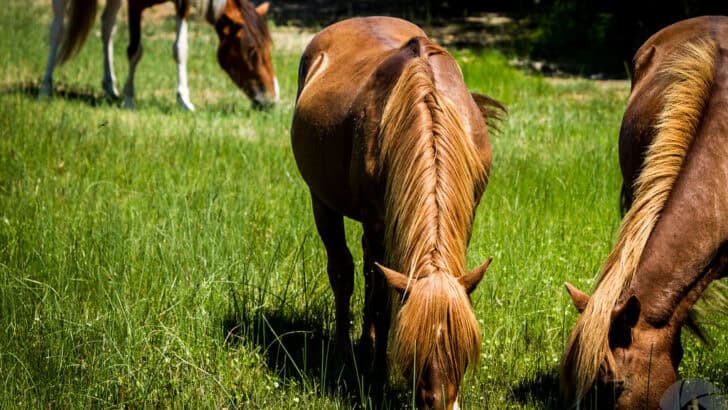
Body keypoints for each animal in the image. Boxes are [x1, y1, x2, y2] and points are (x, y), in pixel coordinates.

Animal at [39, 0, 278, 110]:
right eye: (252, 51)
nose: (272, 99)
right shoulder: (135, 5)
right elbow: (134, 51)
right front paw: (129, 98)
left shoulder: (183, 4)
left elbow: (180, 49)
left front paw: (184, 100)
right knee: (57, 29)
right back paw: (45, 86)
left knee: (108, 26)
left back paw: (110, 86)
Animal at [291, 17, 503, 409]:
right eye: (414, 349)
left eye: (463, 350)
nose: (438, 403)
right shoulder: (377, 224)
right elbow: (379, 302)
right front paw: (376, 377)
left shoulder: (465, 218)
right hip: (323, 202)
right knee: (343, 273)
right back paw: (345, 353)